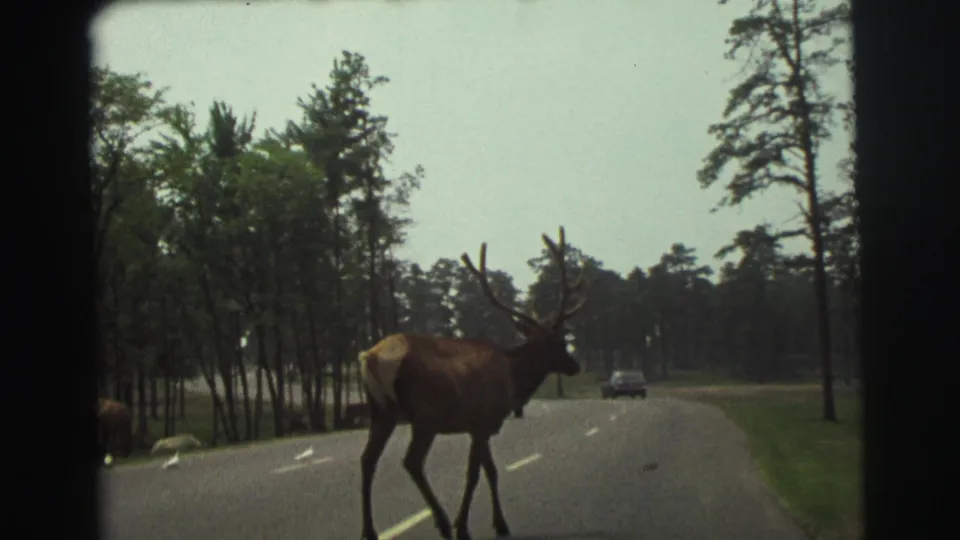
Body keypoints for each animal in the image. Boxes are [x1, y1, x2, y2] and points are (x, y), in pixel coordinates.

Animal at [358, 226, 588, 540]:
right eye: (559, 343)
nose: (575, 366)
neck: (513, 378)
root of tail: (370, 357)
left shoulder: (480, 425)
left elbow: (491, 470)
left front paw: (499, 522)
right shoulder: (483, 420)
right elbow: (474, 473)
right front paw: (463, 526)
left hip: (380, 411)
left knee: (367, 460)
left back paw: (369, 530)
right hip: (426, 414)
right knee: (411, 461)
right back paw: (442, 523)